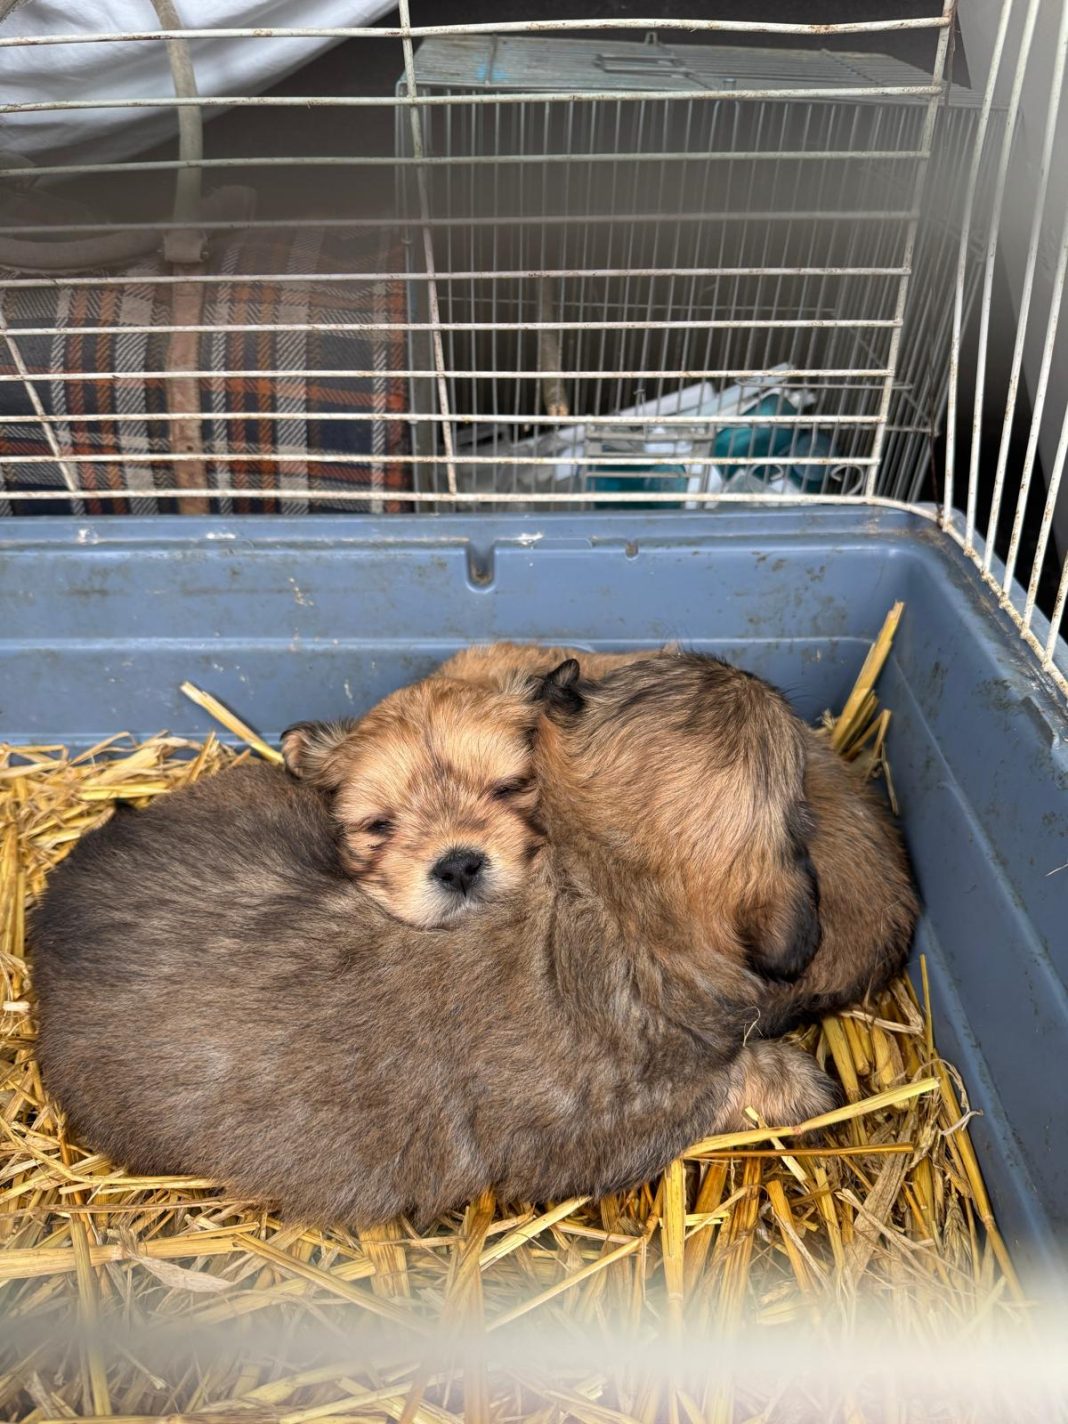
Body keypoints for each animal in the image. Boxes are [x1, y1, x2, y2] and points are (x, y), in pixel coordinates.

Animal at [32, 657, 839, 1227]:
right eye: (378, 826)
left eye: (512, 787)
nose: (456, 863)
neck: (618, 895)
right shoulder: (622, 1116)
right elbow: (726, 1086)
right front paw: (800, 1082)